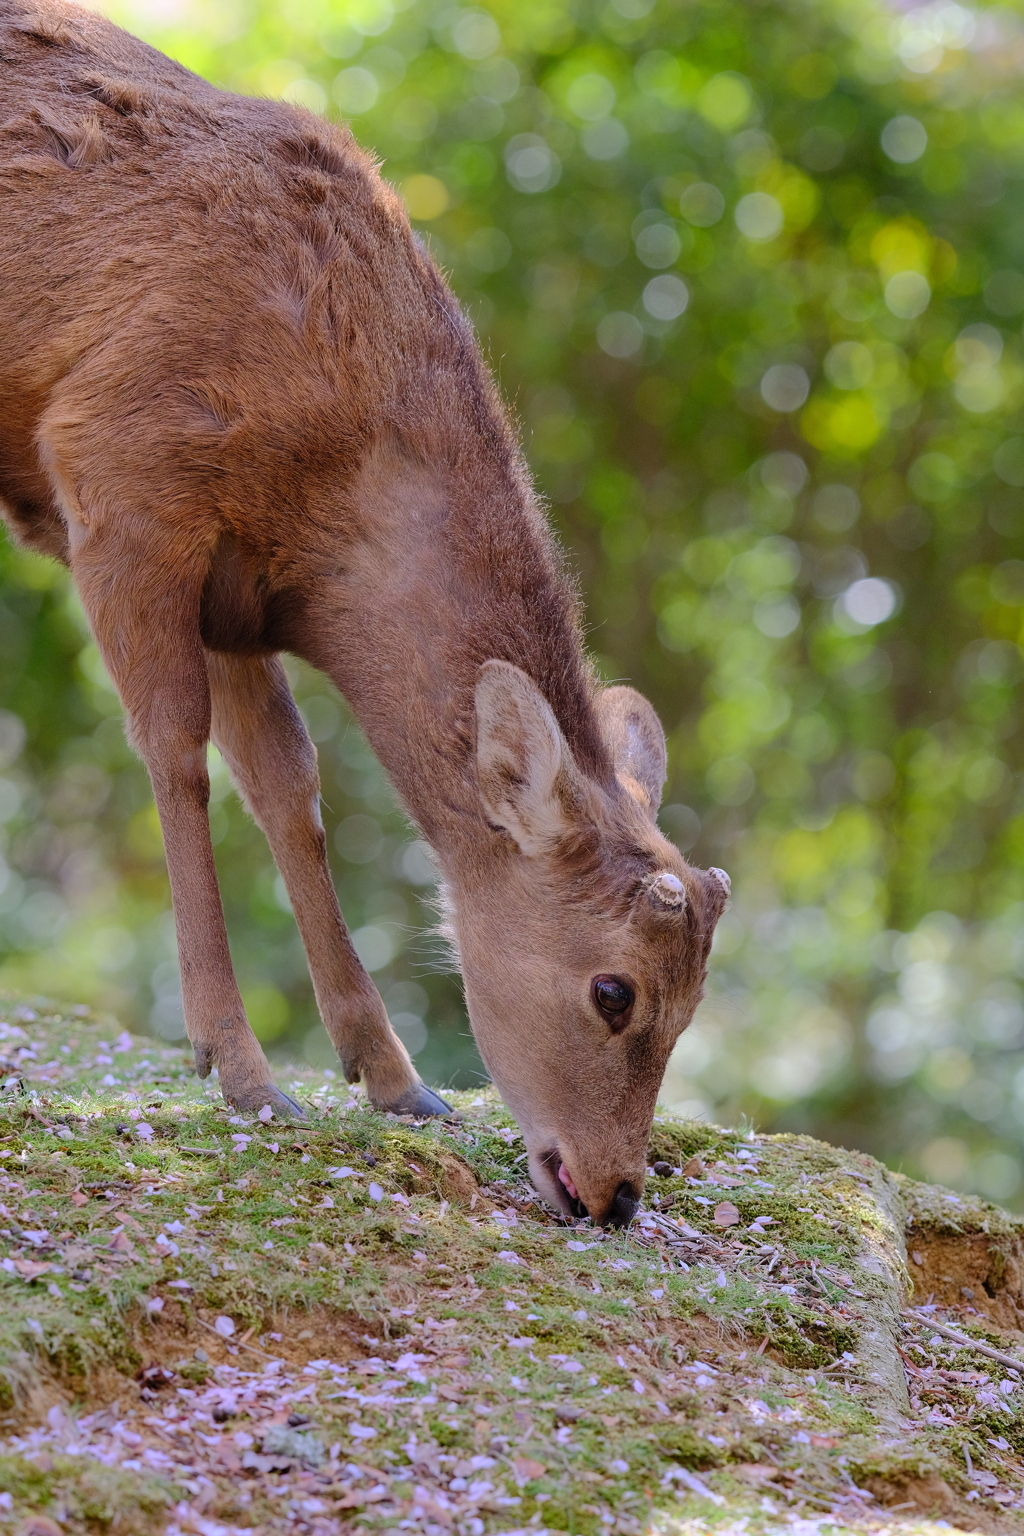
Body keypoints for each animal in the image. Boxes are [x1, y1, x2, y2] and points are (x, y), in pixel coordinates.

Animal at [0, 0, 727, 1222]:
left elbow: (288, 785)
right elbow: (177, 754)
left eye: (696, 1001)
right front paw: (239, 1068)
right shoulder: (117, 480)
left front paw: (395, 1080)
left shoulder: (234, 594)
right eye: (614, 989)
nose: (613, 1194)